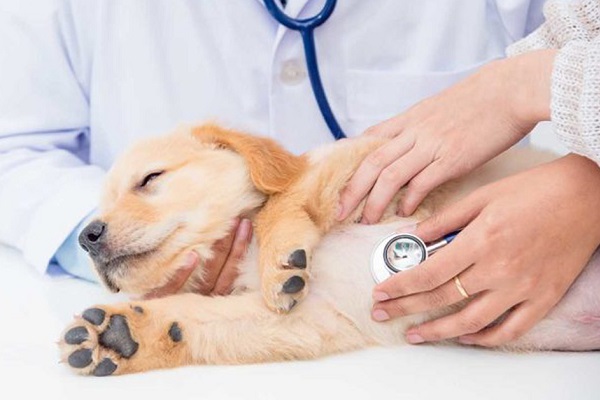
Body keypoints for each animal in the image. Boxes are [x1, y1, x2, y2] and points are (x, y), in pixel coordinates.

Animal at [58, 124, 600, 376]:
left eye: (150, 179)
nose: (86, 235)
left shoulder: (366, 170)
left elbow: (283, 200)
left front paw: (280, 257)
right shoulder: (306, 319)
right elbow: (194, 319)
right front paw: (122, 335)